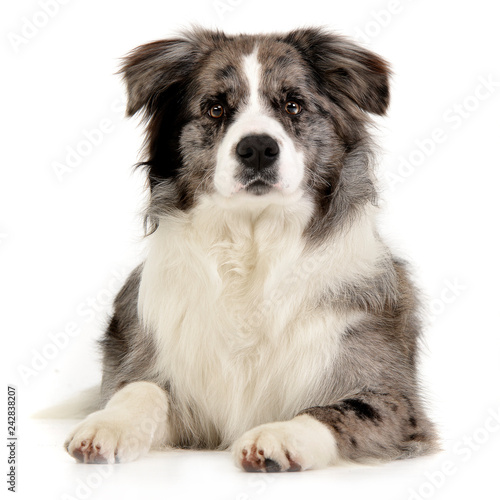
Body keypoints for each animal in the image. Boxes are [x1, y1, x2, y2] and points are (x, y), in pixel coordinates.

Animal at [63, 28, 438, 472]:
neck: (253, 244)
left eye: (294, 105)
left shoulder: (395, 400)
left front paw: (280, 435)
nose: (258, 148)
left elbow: (332, 411)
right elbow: (140, 388)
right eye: (215, 108)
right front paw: (110, 424)